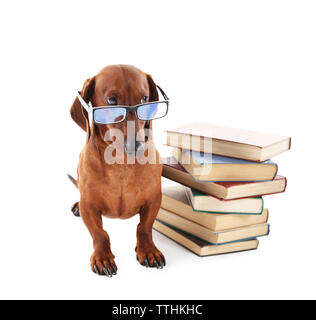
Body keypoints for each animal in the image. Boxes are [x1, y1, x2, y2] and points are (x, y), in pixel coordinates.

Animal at [68, 64, 165, 276]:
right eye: (112, 100)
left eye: (144, 98)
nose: (137, 146)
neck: (122, 165)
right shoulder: (89, 207)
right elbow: (100, 234)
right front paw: (102, 256)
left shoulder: (154, 200)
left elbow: (144, 227)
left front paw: (148, 249)